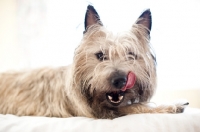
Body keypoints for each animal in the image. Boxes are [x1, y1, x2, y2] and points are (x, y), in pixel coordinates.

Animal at [0, 4, 188, 118]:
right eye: (100, 55)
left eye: (131, 55)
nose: (120, 80)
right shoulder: (98, 112)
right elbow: (135, 107)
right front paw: (172, 105)